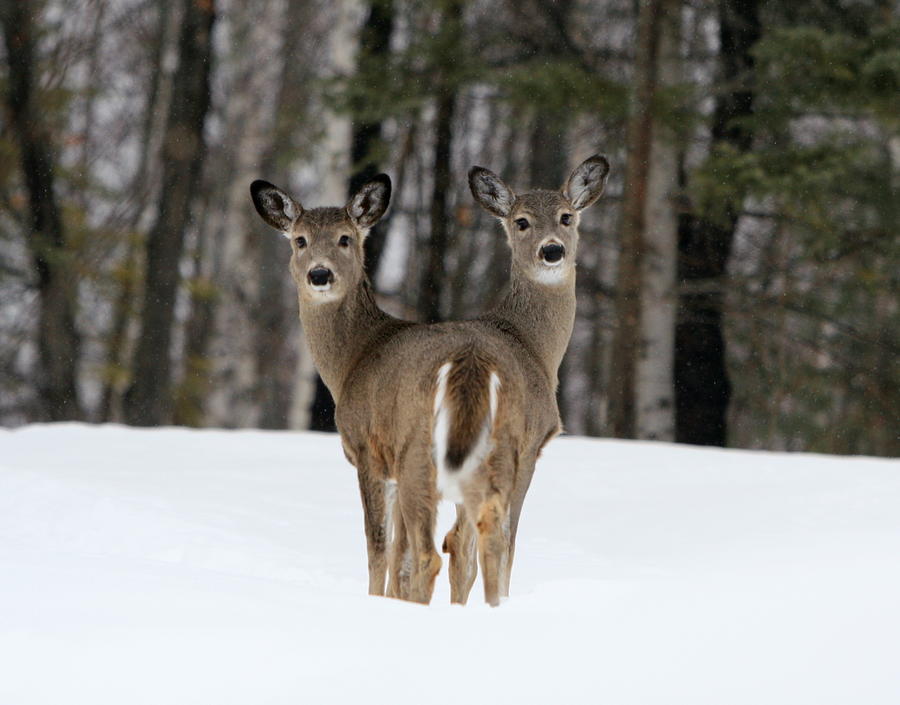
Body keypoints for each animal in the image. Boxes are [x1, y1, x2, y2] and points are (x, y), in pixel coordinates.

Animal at [250, 154, 608, 604]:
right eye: (299, 240)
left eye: (346, 239)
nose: (319, 274)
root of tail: (471, 365)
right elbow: (445, 554)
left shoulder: (368, 447)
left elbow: (383, 550)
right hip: (481, 456)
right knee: (480, 542)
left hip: (427, 452)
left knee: (435, 552)